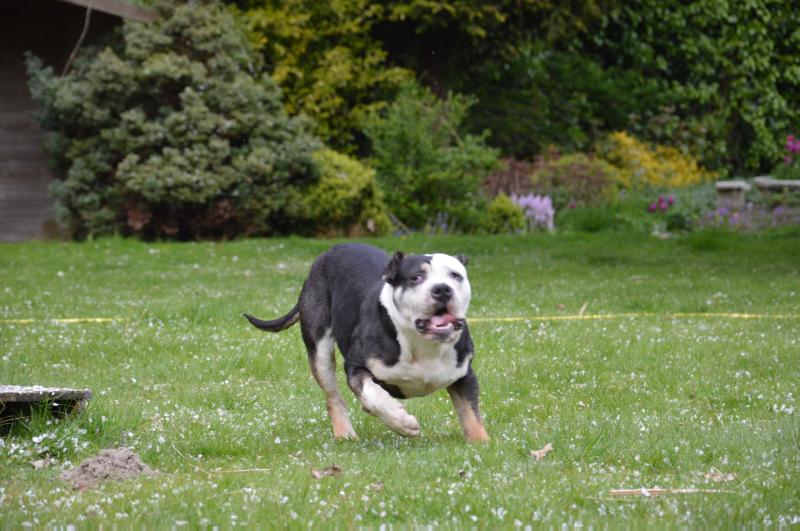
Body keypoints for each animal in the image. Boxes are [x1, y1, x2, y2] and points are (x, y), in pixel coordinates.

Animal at [242, 243, 488, 442]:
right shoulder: (355, 367)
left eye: (455, 275)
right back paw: (345, 433)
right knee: (333, 396)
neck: (420, 342)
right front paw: (401, 422)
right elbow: (374, 395)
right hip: (319, 350)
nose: (442, 289)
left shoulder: (464, 374)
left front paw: (481, 442)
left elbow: (470, 411)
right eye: (416, 277)